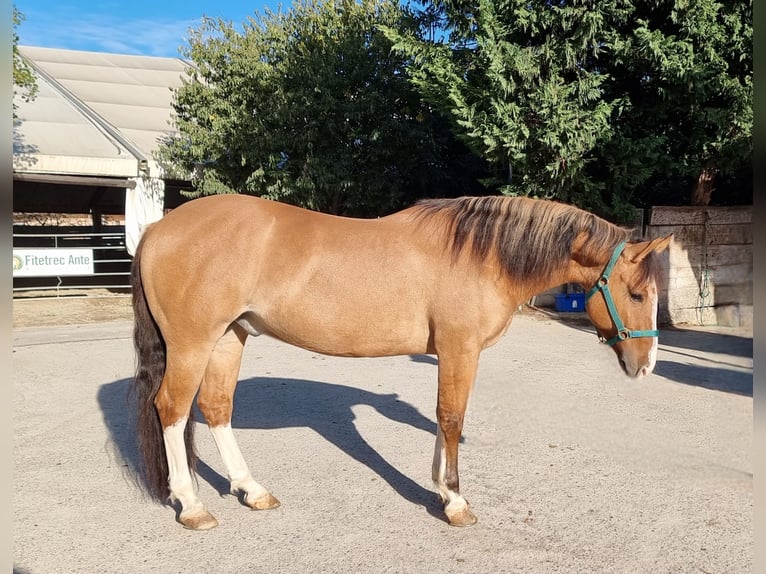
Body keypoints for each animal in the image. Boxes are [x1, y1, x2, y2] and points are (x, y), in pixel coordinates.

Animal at [130, 194, 671, 530]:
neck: (480, 255)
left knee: (216, 408)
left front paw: (440, 492)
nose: (645, 366)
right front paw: (455, 501)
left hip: (230, 336)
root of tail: (160, 226)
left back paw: (251, 489)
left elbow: (441, 418)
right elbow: (452, 418)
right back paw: (192, 505)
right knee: (172, 409)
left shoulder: (450, 353)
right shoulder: (459, 349)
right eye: (637, 293)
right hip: (193, 343)